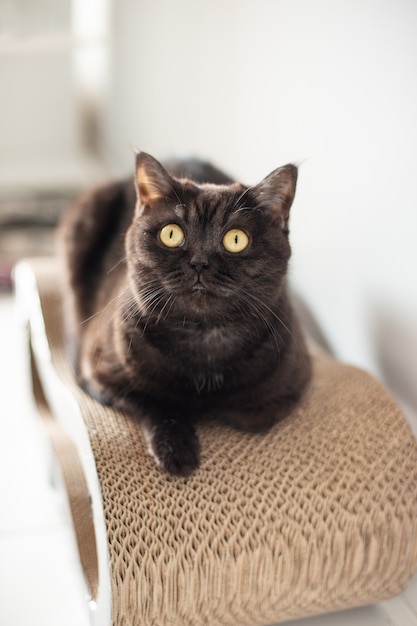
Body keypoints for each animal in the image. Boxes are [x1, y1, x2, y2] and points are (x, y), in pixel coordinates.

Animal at [60, 151, 310, 472]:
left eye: (236, 239)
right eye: (171, 234)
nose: (199, 263)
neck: (203, 339)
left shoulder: (293, 384)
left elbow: (248, 414)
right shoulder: (104, 372)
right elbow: (158, 402)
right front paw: (177, 449)